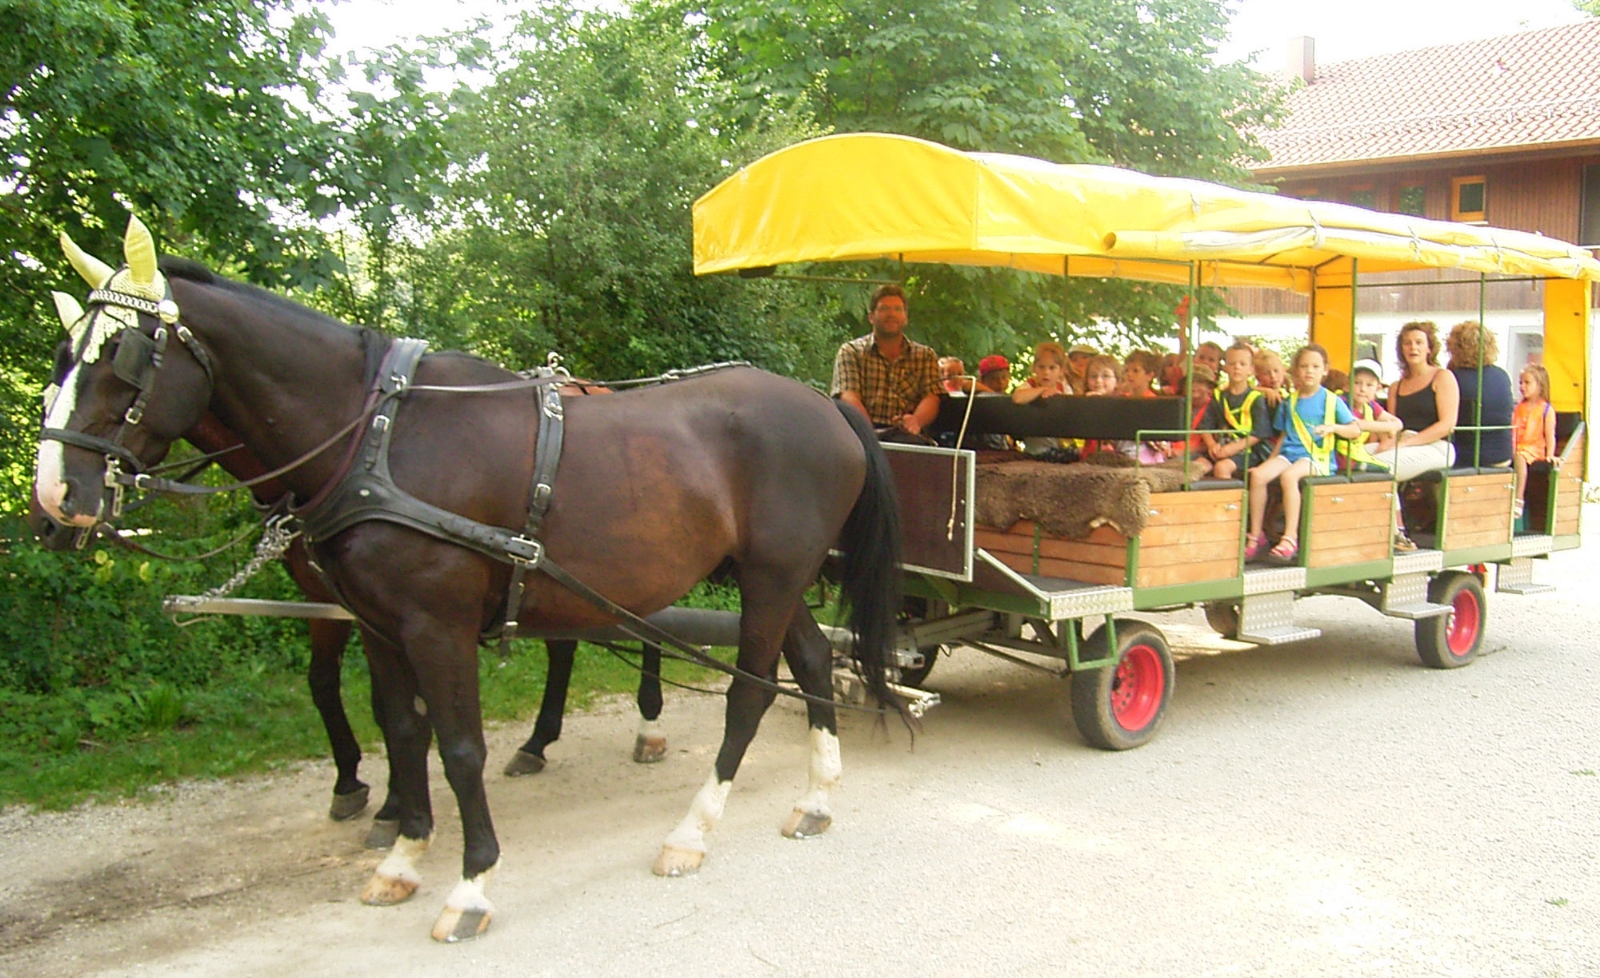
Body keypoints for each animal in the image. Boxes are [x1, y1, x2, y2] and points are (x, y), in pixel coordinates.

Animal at [37, 219, 908, 941]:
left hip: (770, 577)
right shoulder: (377, 624)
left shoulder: (436, 624)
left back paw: (691, 831)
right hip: (776, 579)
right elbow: (402, 731)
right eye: (62, 356)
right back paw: (815, 798)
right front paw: (400, 855)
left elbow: (458, 746)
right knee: (813, 661)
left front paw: (471, 884)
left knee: (749, 694)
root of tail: (827, 408)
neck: (379, 436)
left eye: (125, 359)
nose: (53, 501)